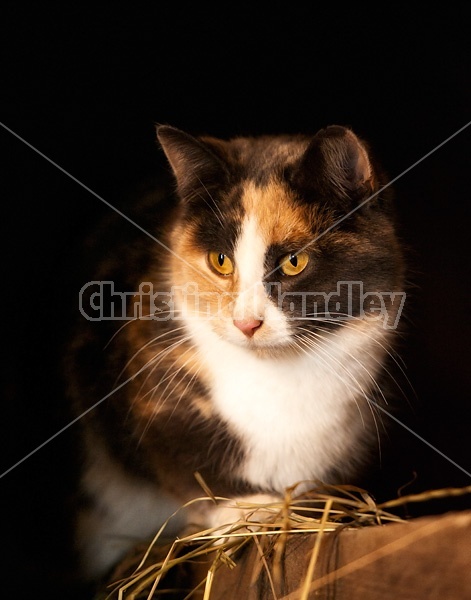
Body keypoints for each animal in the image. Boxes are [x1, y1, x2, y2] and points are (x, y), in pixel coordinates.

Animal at [66, 123, 406, 580]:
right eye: (220, 260)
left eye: (294, 261)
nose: (246, 323)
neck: (279, 378)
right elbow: (183, 458)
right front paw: (246, 509)